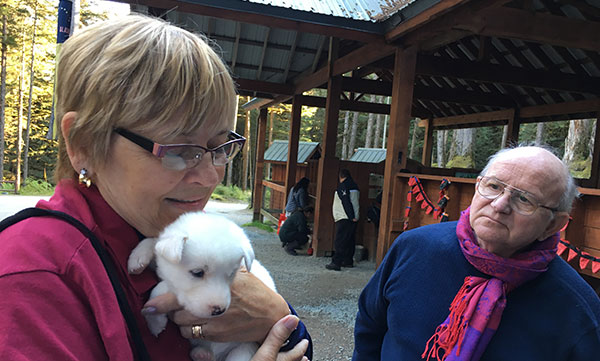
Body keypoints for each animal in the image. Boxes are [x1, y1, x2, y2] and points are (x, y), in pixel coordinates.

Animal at [128, 211, 276, 360]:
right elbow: (153, 242)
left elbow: (161, 286)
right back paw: (202, 354)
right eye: (197, 272)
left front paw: (154, 321)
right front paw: (137, 259)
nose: (219, 311)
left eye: (232, 273)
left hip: (245, 348)